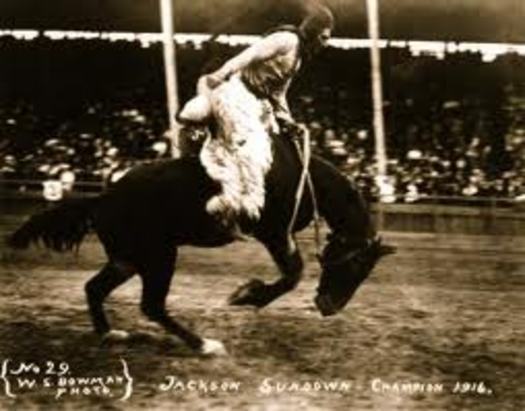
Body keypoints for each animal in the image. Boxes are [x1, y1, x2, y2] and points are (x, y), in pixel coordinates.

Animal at [7, 130, 392, 356]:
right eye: (355, 263)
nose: (330, 307)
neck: (301, 175)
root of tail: (102, 198)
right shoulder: (273, 232)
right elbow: (293, 274)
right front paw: (247, 295)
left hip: (128, 259)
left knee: (95, 289)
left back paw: (109, 333)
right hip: (159, 256)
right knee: (151, 305)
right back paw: (204, 344)